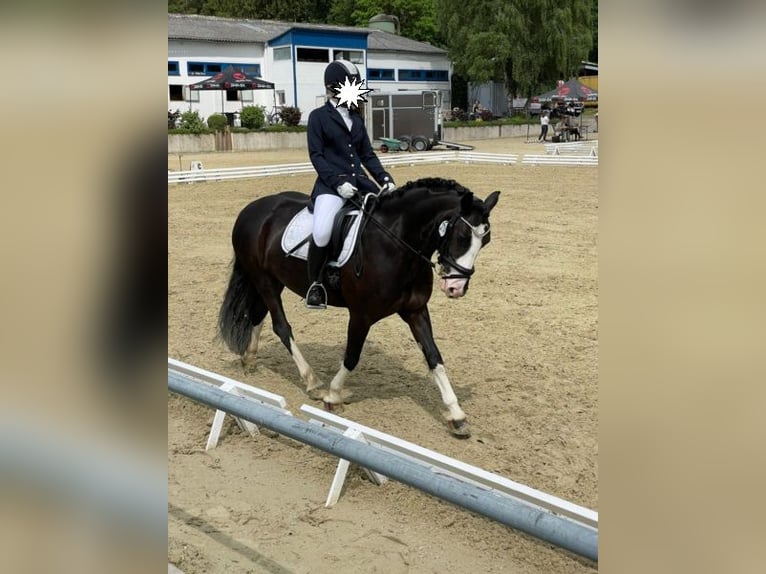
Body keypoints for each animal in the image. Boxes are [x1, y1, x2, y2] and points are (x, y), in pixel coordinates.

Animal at [219, 178, 500, 438]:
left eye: (485, 240)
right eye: (462, 236)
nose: (456, 288)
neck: (396, 243)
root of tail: (251, 209)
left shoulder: (416, 310)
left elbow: (434, 357)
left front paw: (456, 415)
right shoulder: (361, 314)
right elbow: (352, 355)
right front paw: (333, 396)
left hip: (272, 280)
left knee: (258, 315)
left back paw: (250, 360)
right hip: (263, 279)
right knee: (281, 326)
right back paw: (313, 382)